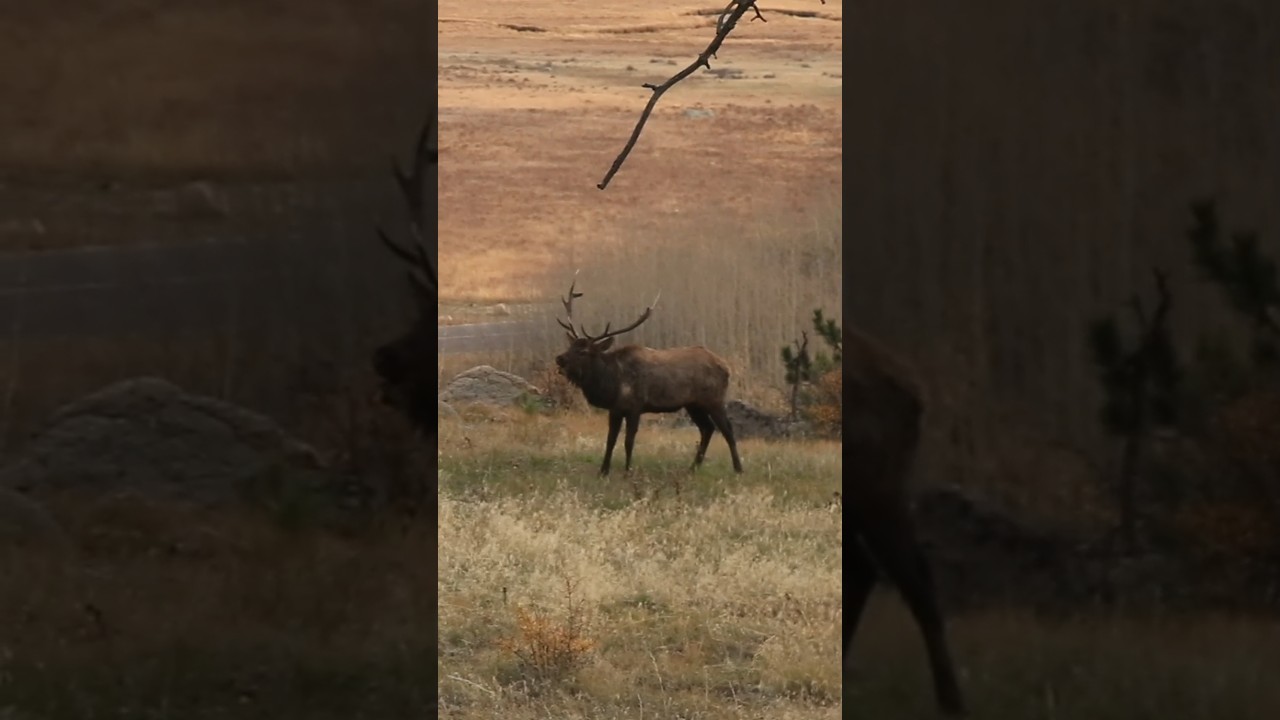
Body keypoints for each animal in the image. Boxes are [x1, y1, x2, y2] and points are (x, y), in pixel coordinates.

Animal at [554, 276, 744, 477]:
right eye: (571, 345)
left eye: (583, 351)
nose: (559, 359)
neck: (612, 383)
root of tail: (726, 367)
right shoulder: (615, 409)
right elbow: (610, 440)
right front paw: (603, 471)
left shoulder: (635, 407)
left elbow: (628, 441)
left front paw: (628, 471)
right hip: (693, 404)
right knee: (707, 428)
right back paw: (693, 467)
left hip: (714, 399)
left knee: (727, 430)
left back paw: (738, 469)